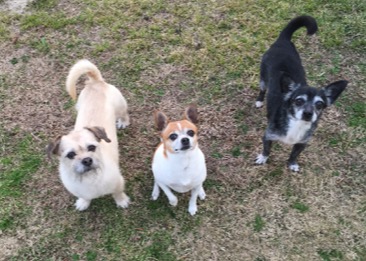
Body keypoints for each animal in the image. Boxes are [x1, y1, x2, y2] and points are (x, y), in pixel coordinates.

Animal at [47, 59, 130, 209]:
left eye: (92, 147)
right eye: (70, 155)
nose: (87, 160)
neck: (89, 178)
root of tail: (95, 82)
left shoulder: (118, 182)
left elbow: (117, 193)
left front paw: (122, 201)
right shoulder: (80, 190)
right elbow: (85, 197)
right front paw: (83, 203)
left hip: (120, 107)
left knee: (124, 114)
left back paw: (123, 122)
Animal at [254, 15, 348, 171]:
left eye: (320, 104)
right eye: (298, 101)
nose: (308, 113)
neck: (296, 124)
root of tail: (283, 40)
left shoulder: (302, 143)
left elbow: (294, 155)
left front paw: (292, 164)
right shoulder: (268, 136)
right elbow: (266, 149)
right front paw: (262, 158)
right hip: (263, 79)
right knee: (262, 90)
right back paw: (259, 101)